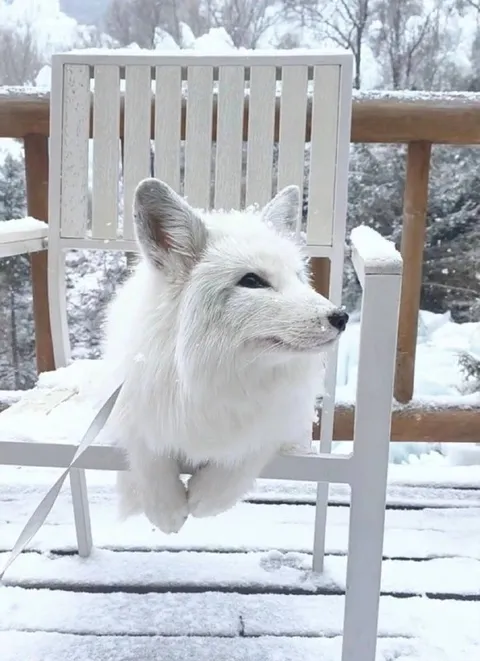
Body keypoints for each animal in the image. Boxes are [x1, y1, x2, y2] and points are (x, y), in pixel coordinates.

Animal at [102, 178, 348, 534]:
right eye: (252, 281)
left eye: (299, 278)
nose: (341, 317)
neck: (222, 376)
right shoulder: (130, 401)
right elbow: (145, 446)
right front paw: (165, 507)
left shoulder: (285, 419)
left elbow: (249, 449)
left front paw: (207, 497)